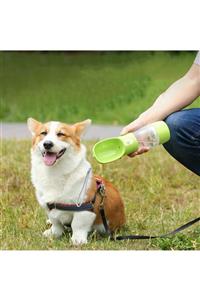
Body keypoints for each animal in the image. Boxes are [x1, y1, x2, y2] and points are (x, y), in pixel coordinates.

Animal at [27, 116, 126, 244]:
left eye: (61, 134)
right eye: (43, 133)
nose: (47, 144)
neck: (55, 172)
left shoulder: (84, 209)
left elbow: (78, 224)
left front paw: (78, 239)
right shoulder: (49, 207)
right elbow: (55, 222)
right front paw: (53, 233)